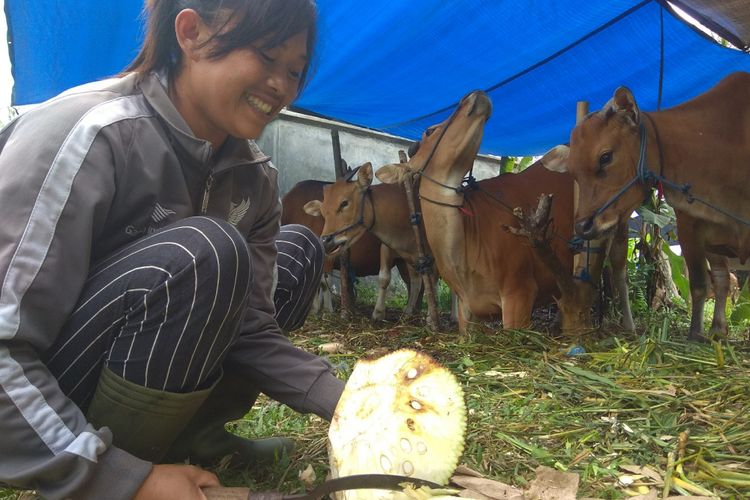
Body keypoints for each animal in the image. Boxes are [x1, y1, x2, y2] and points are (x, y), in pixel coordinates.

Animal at [302, 166, 434, 322]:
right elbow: (384, 277)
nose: (325, 240)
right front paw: (378, 313)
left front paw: (431, 318)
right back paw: (408, 312)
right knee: (415, 281)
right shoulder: (388, 247)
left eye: (344, 203)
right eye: (322, 212)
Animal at [544, 72, 748, 342]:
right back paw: (717, 329)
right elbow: (699, 283)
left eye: (605, 157)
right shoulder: (689, 225)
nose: (583, 225)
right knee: (722, 276)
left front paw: (696, 335)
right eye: (573, 173)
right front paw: (696, 334)